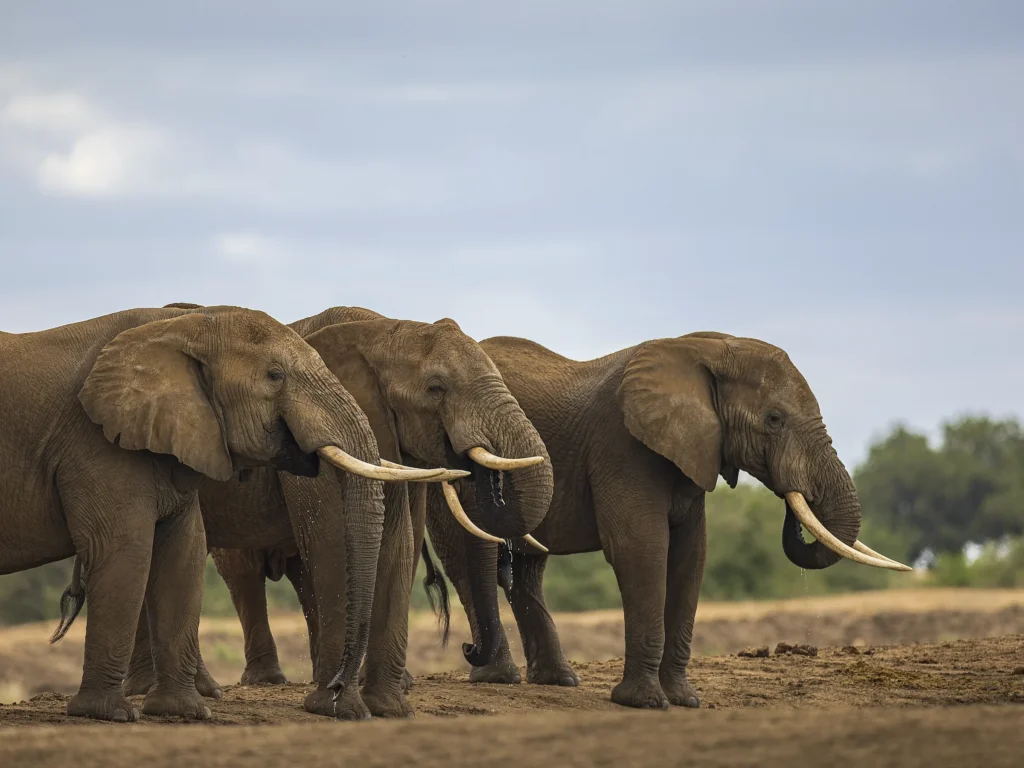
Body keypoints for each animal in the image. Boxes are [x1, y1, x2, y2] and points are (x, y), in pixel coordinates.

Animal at [0, 304, 439, 723]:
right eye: (275, 375)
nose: (334, 690)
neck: (182, 326)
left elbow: (183, 551)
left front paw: (184, 712)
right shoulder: (96, 442)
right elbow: (125, 549)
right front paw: (110, 714)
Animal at [126, 305, 554, 718]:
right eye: (436, 388)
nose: (467, 648)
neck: (383, 331)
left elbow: (400, 542)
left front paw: (388, 708)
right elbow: (333, 539)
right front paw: (339, 707)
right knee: (237, 571)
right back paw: (201, 689)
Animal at [421, 331, 910, 710]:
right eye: (774, 419)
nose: (793, 508)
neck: (708, 348)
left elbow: (691, 556)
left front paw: (685, 700)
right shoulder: (624, 447)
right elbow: (641, 549)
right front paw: (644, 703)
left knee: (527, 567)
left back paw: (559, 681)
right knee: (474, 560)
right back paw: (497, 677)